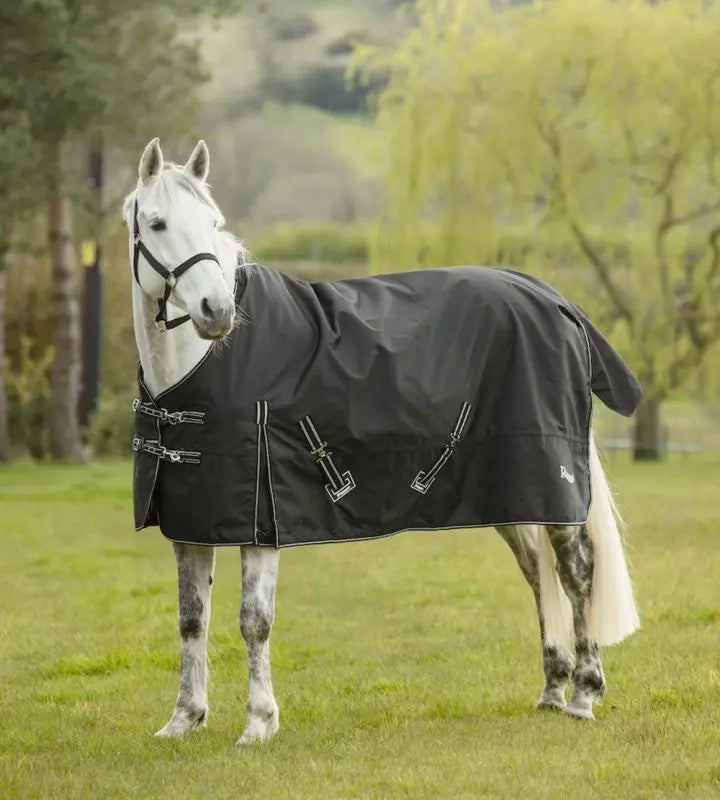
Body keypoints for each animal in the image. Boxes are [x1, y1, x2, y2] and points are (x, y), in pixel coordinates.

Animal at [123, 138, 640, 745]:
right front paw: (184, 719)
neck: (207, 365)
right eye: (157, 223)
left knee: (576, 570)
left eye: (213, 222)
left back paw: (583, 693)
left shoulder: (262, 519)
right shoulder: (193, 522)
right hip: (512, 492)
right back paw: (553, 689)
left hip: (553, 484)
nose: (217, 312)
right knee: (539, 571)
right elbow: (191, 619)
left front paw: (258, 725)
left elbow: (254, 622)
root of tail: (554, 300)